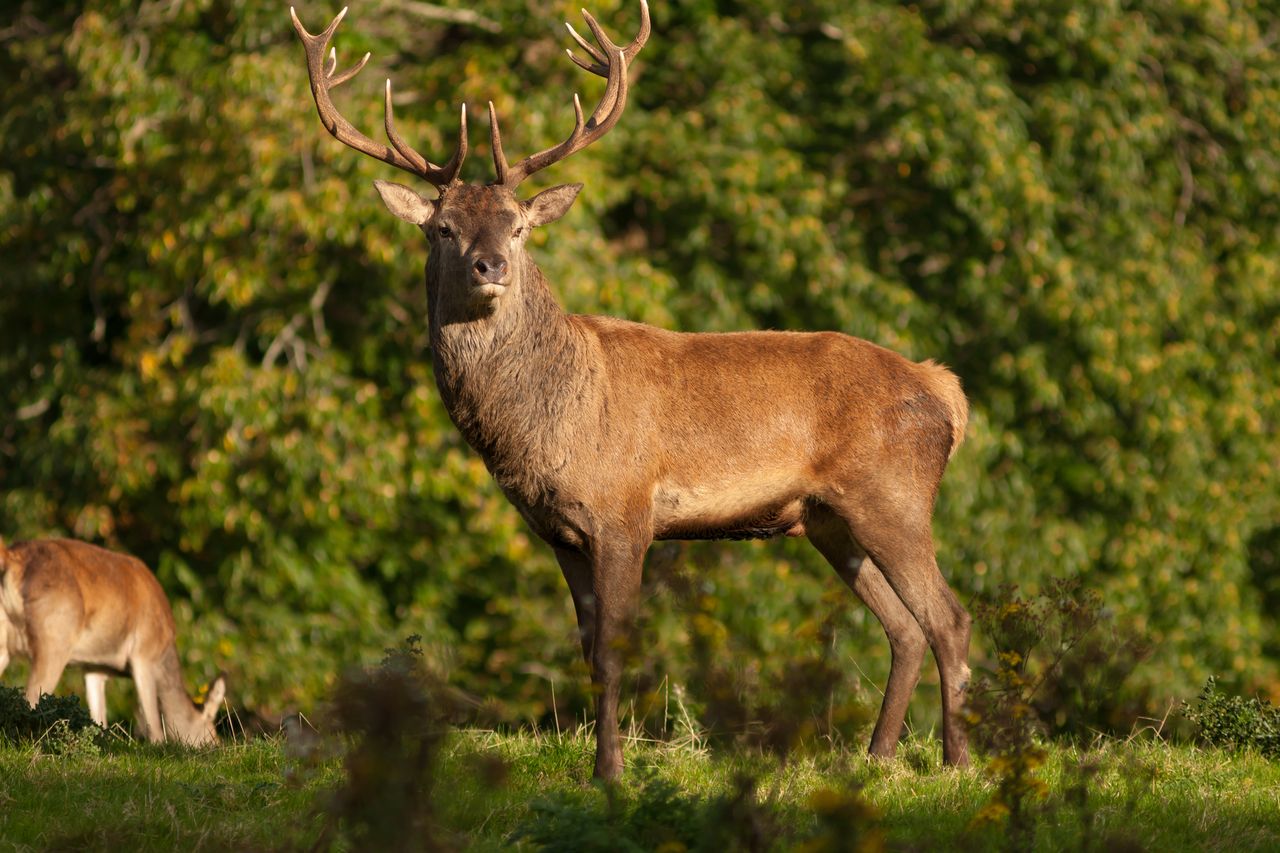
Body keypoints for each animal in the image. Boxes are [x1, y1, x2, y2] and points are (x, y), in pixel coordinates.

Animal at [0, 537, 225, 742]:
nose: (217, 748)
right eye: (211, 736)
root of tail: (13, 559)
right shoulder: (144, 654)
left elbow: (100, 718)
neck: (165, 650)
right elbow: (153, 725)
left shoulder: (94, 668)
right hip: (54, 639)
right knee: (30, 698)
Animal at [290, 0, 967, 778]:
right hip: (828, 518)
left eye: (518, 227)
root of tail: (945, 391)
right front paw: (599, 761)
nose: (490, 267)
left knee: (948, 618)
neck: (545, 426)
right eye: (442, 228)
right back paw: (875, 757)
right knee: (904, 627)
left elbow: (612, 654)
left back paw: (957, 759)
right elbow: (586, 652)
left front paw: (609, 770)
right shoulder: (556, 529)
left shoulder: (624, 510)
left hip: (895, 494)